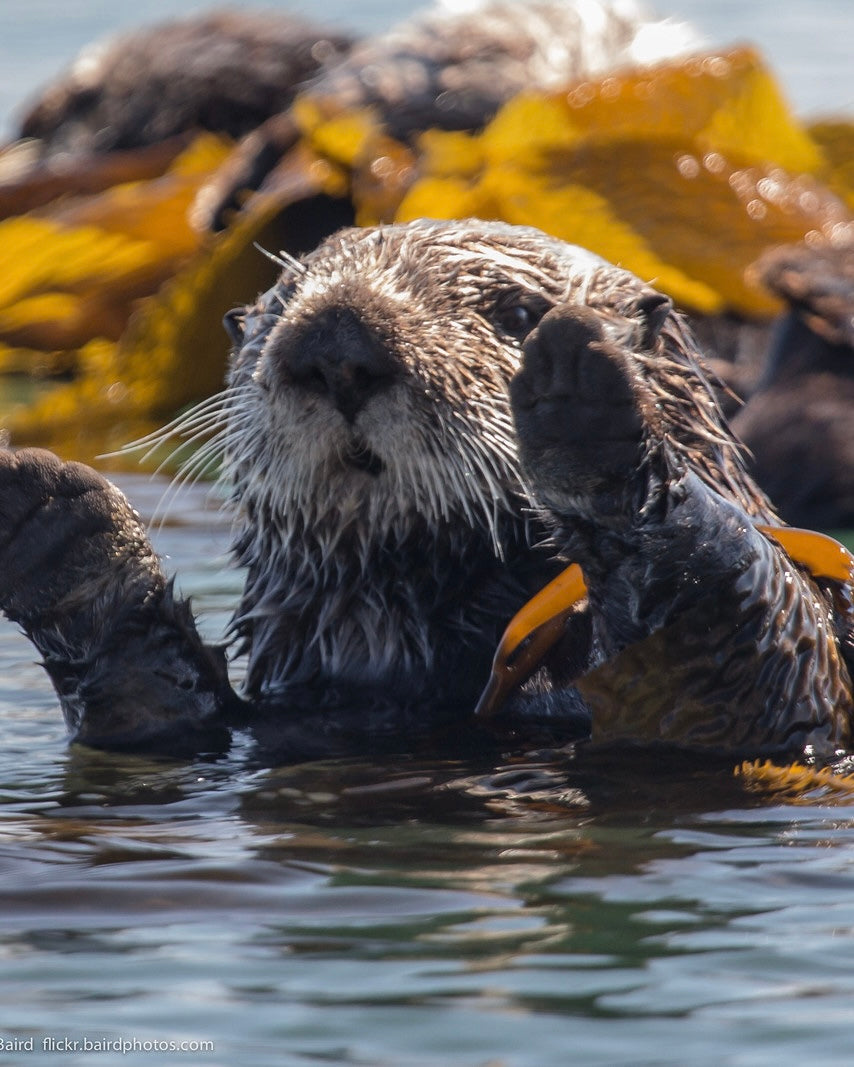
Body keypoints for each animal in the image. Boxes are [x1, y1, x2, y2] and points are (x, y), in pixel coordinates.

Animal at [0, 219, 851, 762]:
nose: (336, 340)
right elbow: (154, 714)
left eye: (517, 312)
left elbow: (766, 686)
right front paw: (64, 534)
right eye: (282, 305)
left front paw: (594, 423)